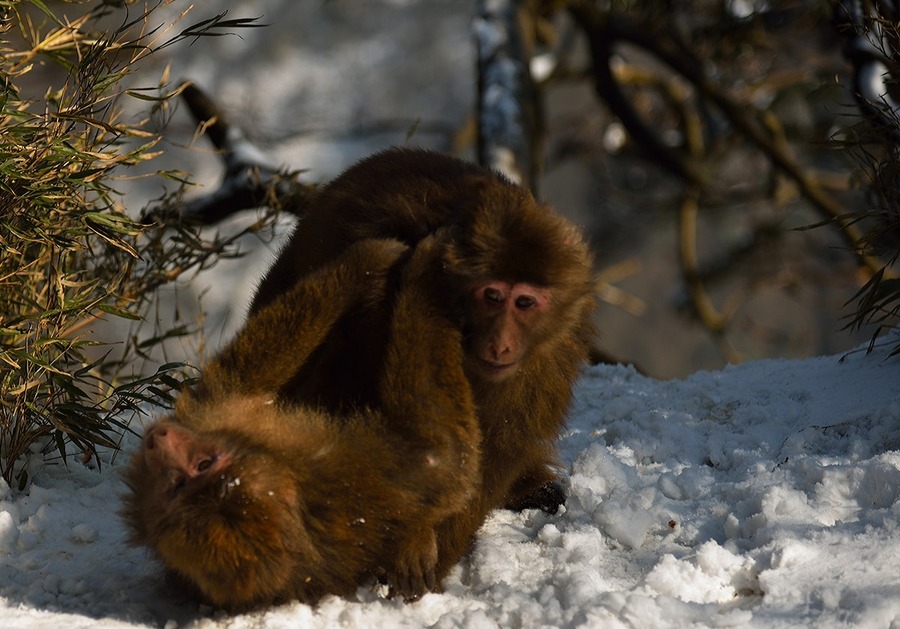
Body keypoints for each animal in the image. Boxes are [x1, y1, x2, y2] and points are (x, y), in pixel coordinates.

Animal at [125, 236, 486, 608]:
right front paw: (371, 262)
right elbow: (439, 455)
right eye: (175, 485)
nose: (158, 439)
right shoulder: (345, 475)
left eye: (198, 468)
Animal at [246, 147, 596, 584]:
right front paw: (409, 543)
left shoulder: (552, 354)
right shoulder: (384, 294)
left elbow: (498, 446)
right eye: (493, 296)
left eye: (525, 302)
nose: (501, 342)